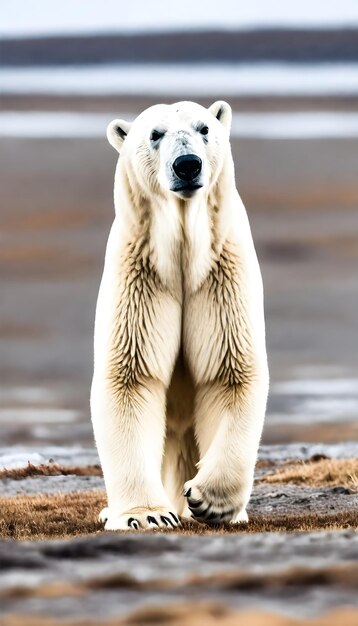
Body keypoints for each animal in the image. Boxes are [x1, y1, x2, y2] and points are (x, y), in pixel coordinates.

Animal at [90, 100, 268, 528]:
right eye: (155, 134)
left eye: (204, 128)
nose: (187, 165)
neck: (184, 251)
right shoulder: (141, 273)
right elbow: (130, 377)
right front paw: (146, 516)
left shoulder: (221, 272)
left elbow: (229, 373)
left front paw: (208, 500)